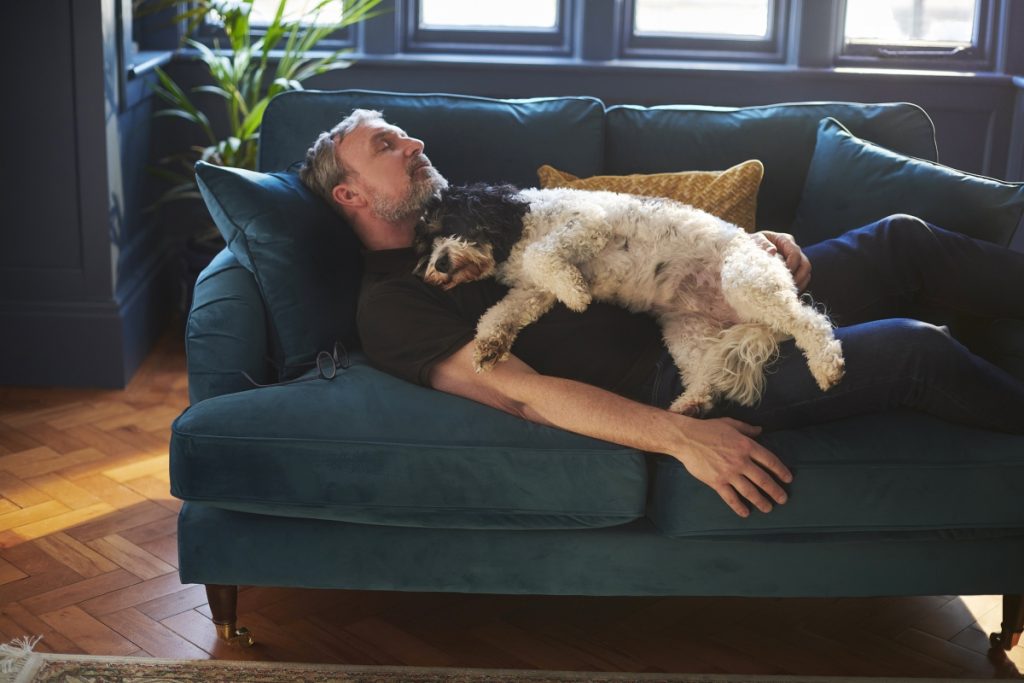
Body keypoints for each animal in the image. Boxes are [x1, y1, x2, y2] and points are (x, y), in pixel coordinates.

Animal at [411, 183, 843, 417]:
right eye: (424, 244)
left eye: (450, 225)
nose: (438, 265)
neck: (517, 226)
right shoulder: (532, 291)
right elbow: (500, 313)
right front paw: (488, 346)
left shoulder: (588, 222)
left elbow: (542, 255)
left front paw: (578, 294)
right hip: (687, 331)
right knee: (705, 376)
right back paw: (691, 404)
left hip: (746, 278)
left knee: (810, 322)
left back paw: (827, 366)